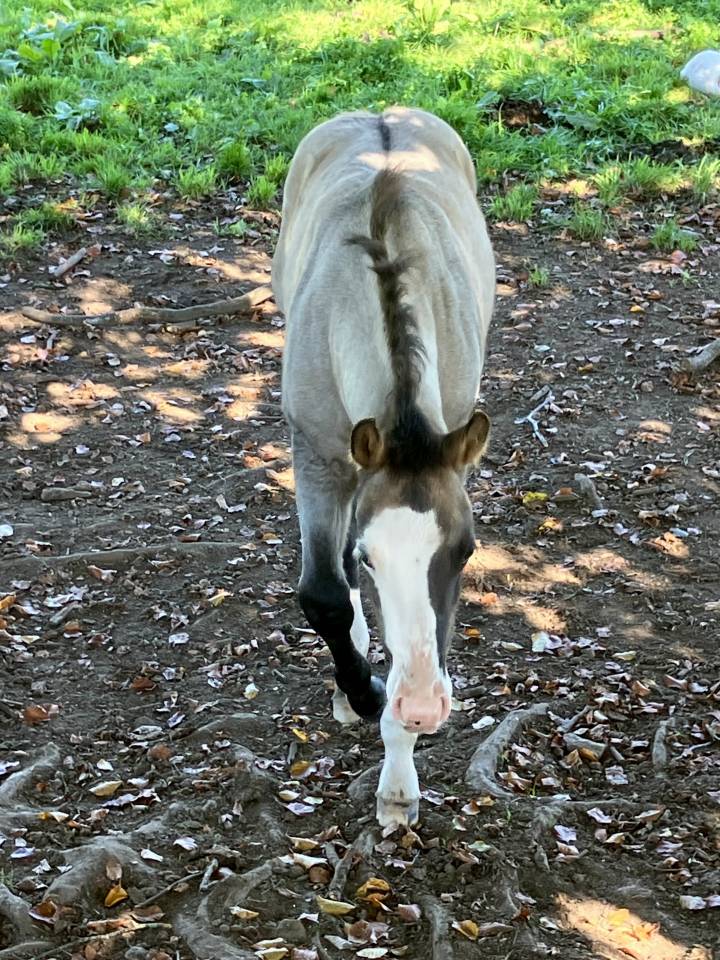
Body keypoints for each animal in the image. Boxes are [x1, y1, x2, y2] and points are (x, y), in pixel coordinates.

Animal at [272, 106, 495, 827]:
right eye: (375, 557)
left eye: (467, 549)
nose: (423, 707)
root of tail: (381, 112)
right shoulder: (316, 453)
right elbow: (323, 590)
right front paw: (363, 692)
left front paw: (398, 780)